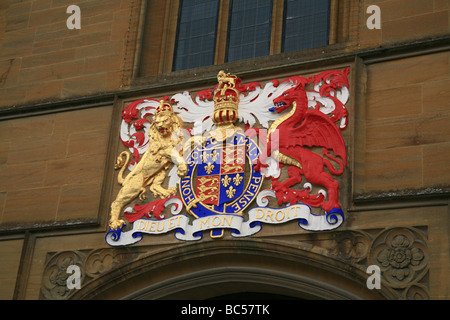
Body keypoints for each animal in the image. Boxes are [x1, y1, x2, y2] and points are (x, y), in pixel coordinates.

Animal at [110, 100, 189, 230]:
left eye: (165, 120)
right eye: (156, 122)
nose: (160, 126)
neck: (167, 136)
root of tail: (125, 179)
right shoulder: (166, 150)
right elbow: (178, 156)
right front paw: (183, 169)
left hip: (159, 173)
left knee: (155, 186)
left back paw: (167, 192)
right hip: (132, 188)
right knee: (116, 203)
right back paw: (115, 223)